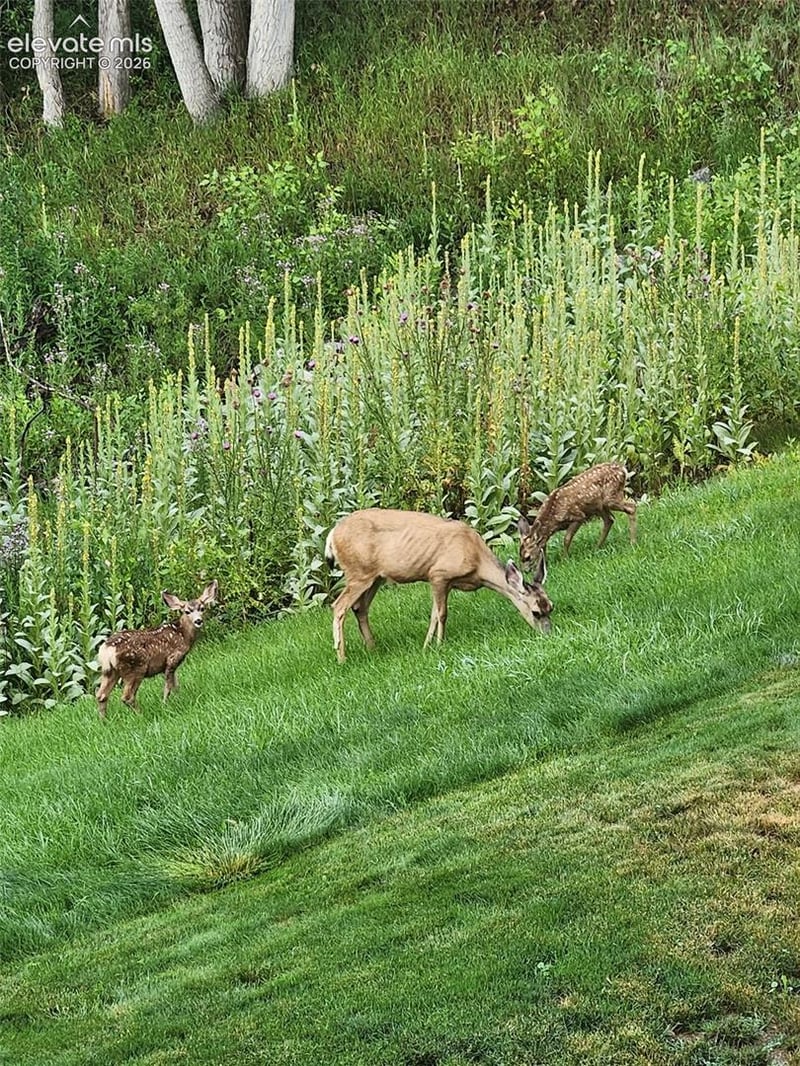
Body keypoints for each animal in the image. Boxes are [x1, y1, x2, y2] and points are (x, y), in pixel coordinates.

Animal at [95, 581, 218, 719]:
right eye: (187, 611)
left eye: (202, 608)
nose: (198, 621)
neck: (182, 635)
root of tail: (107, 649)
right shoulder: (172, 659)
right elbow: (168, 687)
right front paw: (165, 704)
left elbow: (176, 685)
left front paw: (178, 698)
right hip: (135, 668)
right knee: (127, 697)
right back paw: (141, 715)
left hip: (110, 671)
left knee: (101, 695)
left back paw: (103, 720)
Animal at [324, 509, 552, 662]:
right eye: (536, 612)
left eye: (550, 607)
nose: (549, 634)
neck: (477, 561)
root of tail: (332, 534)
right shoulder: (438, 574)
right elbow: (442, 614)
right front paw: (439, 645)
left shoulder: (445, 582)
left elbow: (434, 613)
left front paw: (427, 647)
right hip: (358, 573)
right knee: (339, 606)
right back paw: (342, 658)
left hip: (374, 577)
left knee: (359, 608)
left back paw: (373, 649)